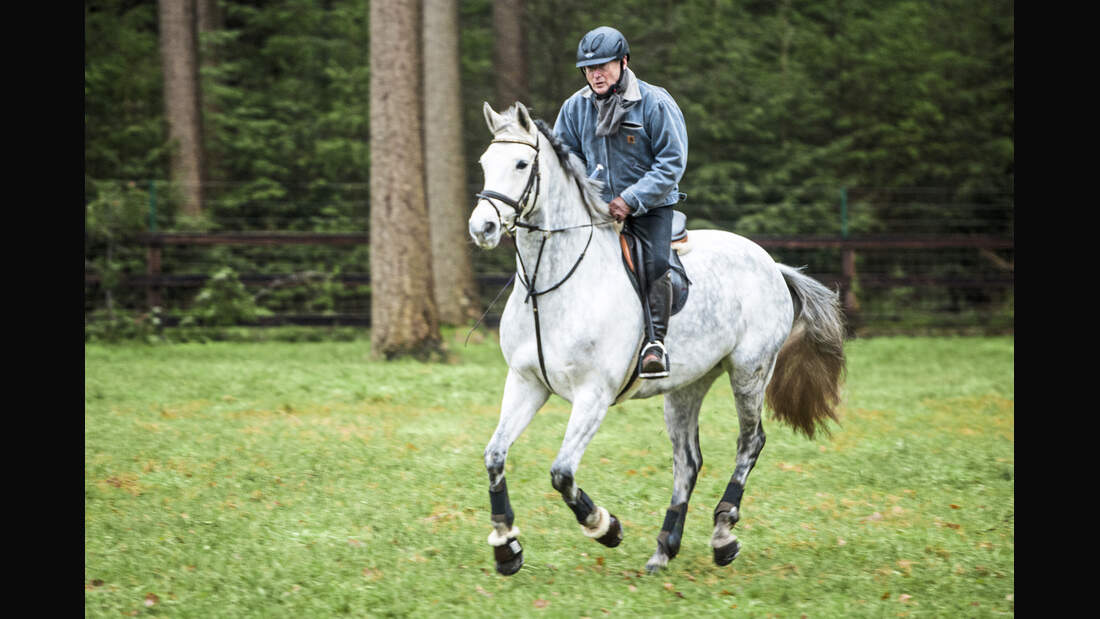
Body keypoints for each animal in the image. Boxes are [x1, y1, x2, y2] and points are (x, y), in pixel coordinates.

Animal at [468, 102, 844, 576]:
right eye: (484, 163)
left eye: (521, 164)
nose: (482, 228)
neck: (550, 284)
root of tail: (771, 264)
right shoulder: (526, 382)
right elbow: (494, 455)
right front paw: (505, 544)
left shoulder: (593, 395)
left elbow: (562, 473)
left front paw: (605, 527)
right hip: (686, 385)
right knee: (688, 462)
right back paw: (664, 548)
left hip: (749, 370)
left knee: (749, 442)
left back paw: (723, 534)